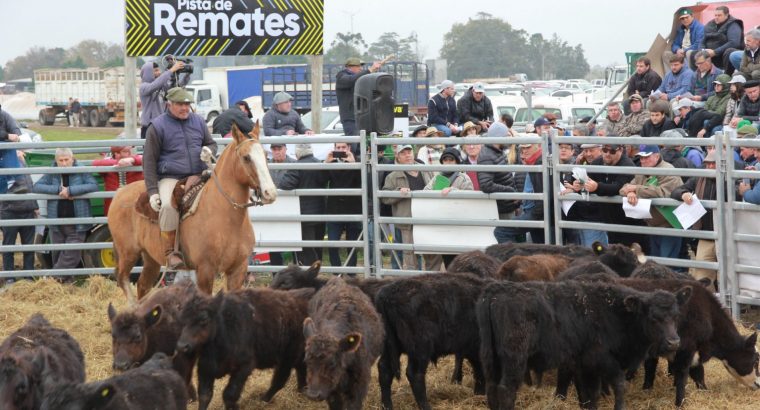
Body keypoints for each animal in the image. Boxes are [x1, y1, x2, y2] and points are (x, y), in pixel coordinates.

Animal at [110, 122, 276, 304]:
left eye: (265, 155)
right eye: (247, 158)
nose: (270, 192)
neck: (226, 218)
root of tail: (120, 192)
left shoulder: (238, 270)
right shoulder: (205, 270)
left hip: (151, 258)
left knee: (143, 285)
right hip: (128, 253)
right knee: (122, 278)